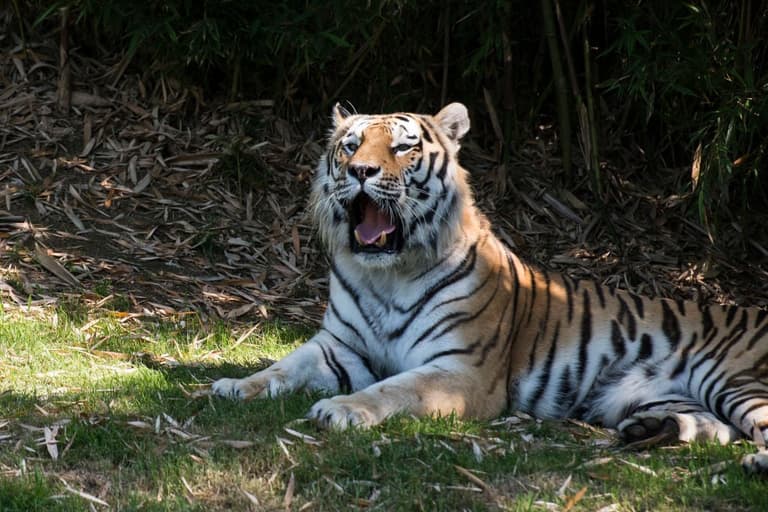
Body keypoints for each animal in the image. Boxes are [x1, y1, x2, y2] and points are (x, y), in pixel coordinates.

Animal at [212, 102, 768, 472]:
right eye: (350, 145)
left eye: (403, 146)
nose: (361, 171)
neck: (387, 273)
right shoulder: (338, 346)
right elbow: (282, 367)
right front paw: (233, 386)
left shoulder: (462, 370)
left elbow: (394, 388)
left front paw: (340, 409)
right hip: (661, 398)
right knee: (714, 428)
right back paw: (650, 431)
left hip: (733, 380)